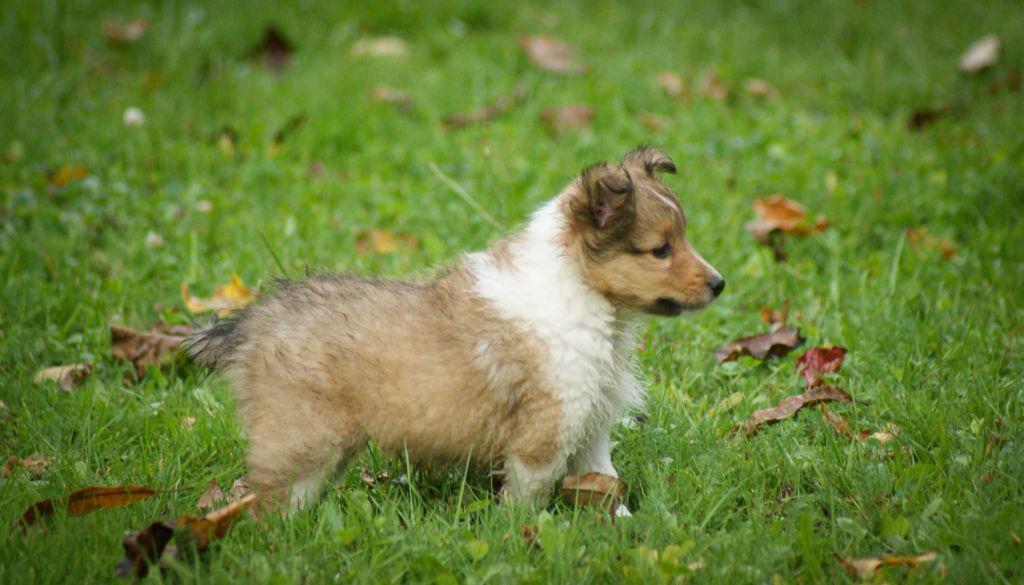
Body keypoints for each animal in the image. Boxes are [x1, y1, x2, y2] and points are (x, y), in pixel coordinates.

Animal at [186, 147, 724, 514]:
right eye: (660, 249)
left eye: (682, 238)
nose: (720, 284)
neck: (582, 292)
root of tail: (250, 322)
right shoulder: (545, 433)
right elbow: (529, 494)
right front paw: (521, 534)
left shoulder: (590, 420)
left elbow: (605, 480)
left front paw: (625, 527)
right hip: (301, 436)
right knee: (271, 502)